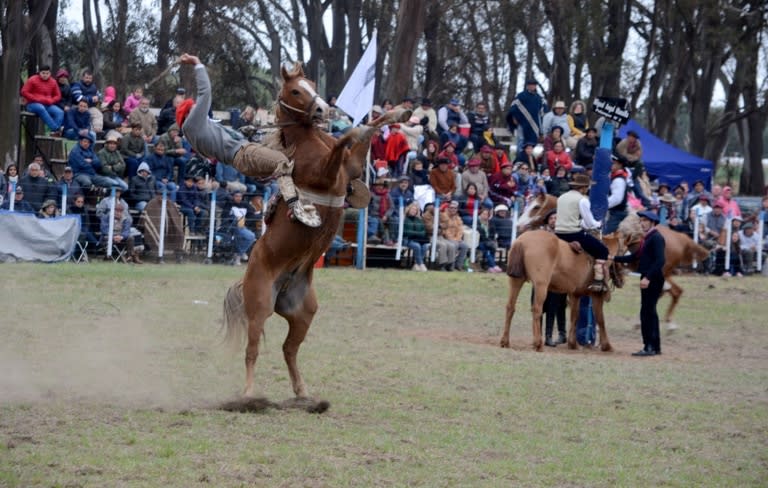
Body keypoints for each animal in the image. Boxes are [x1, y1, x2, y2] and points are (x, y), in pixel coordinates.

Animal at [224, 63, 408, 398]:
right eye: (296, 90)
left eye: (310, 82)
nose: (323, 108)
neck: (308, 140)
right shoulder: (325, 172)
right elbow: (345, 139)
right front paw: (355, 128)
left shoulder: (351, 168)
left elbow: (368, 131)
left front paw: (400, 112)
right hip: (259, 306)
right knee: (252, 350)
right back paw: (248, 394)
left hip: (303, 312)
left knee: (289, 349)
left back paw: (302, 392)